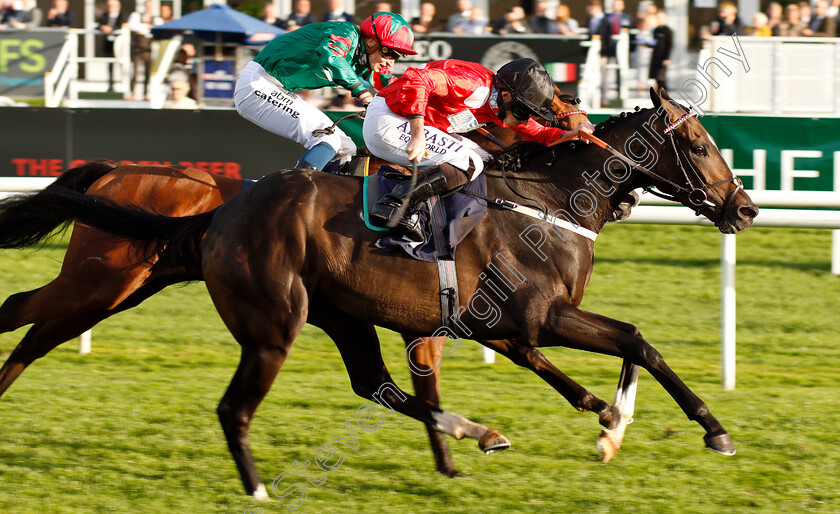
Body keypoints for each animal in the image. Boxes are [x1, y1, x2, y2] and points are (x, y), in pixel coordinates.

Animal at [0, 88, 756, 496]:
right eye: (699, 144)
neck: (547, 203)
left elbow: (607, 353)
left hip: (307, 310)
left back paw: (478, 432)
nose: (745, 209)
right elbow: (637, 339)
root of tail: (220, 209)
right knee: (35, 321)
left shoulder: (502, 327)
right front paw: (705, 429)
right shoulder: (540, 316)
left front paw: (608, 421)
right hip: (154, 292)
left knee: (374, 383)